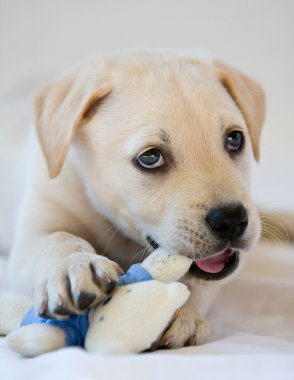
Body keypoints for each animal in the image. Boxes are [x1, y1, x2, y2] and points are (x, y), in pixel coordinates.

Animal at [7, 50, 264, 348]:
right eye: (150, 157)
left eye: (235, 139)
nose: (232, 220)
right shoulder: (35, 227)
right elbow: (57, 238)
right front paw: (74, 267)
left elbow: (199, 279)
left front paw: (179, 309)